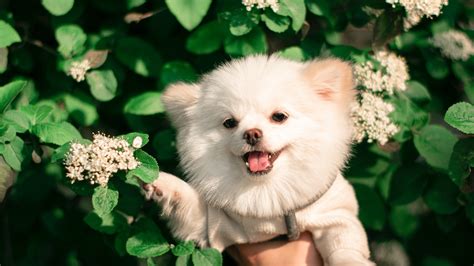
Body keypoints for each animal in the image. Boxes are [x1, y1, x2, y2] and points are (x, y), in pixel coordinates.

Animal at [144, 55, 374, 264]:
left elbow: (343, 248)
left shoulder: (336, 216)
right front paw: (163, 184)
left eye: (279, 116)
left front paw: (349, 261)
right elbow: (190, 203)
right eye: (229, 123)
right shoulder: (215, 225)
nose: (252, 133)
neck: (269, 191)